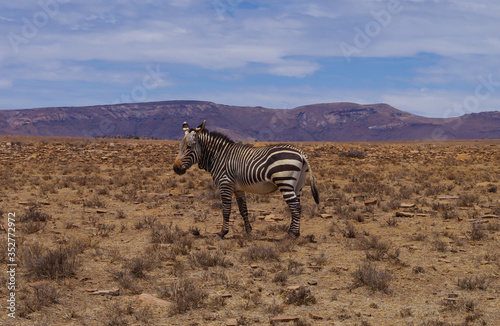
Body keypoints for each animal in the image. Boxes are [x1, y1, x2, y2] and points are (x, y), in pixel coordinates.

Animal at [173, 119, 320, 237]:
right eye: (179, 146)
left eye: (189, 147)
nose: (176, 168)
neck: (219, 156)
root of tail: (300, 152)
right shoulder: (238, 188)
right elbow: (243, 210)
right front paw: (248, 231)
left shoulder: (225, 184)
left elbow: (226, 209)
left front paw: (222, 233)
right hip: (298, 184)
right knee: (298, 205)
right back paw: (295, 232)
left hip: (285, 182)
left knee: (295, 207)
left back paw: (292, 235)